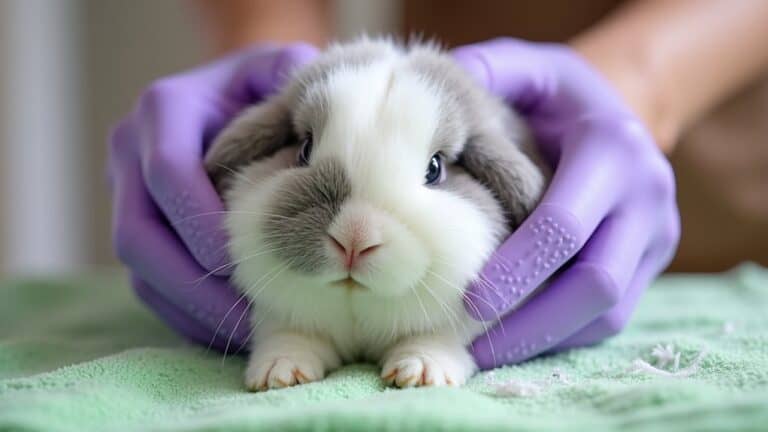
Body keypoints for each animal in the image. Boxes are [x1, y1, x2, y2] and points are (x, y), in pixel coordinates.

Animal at [204, 38, 550, 391]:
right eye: (304, 149)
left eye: (435, 168)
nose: (354, 241)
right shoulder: (280, 315)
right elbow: (288, 334)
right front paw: (281, 373)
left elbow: (436, 338)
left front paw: (420, 373)